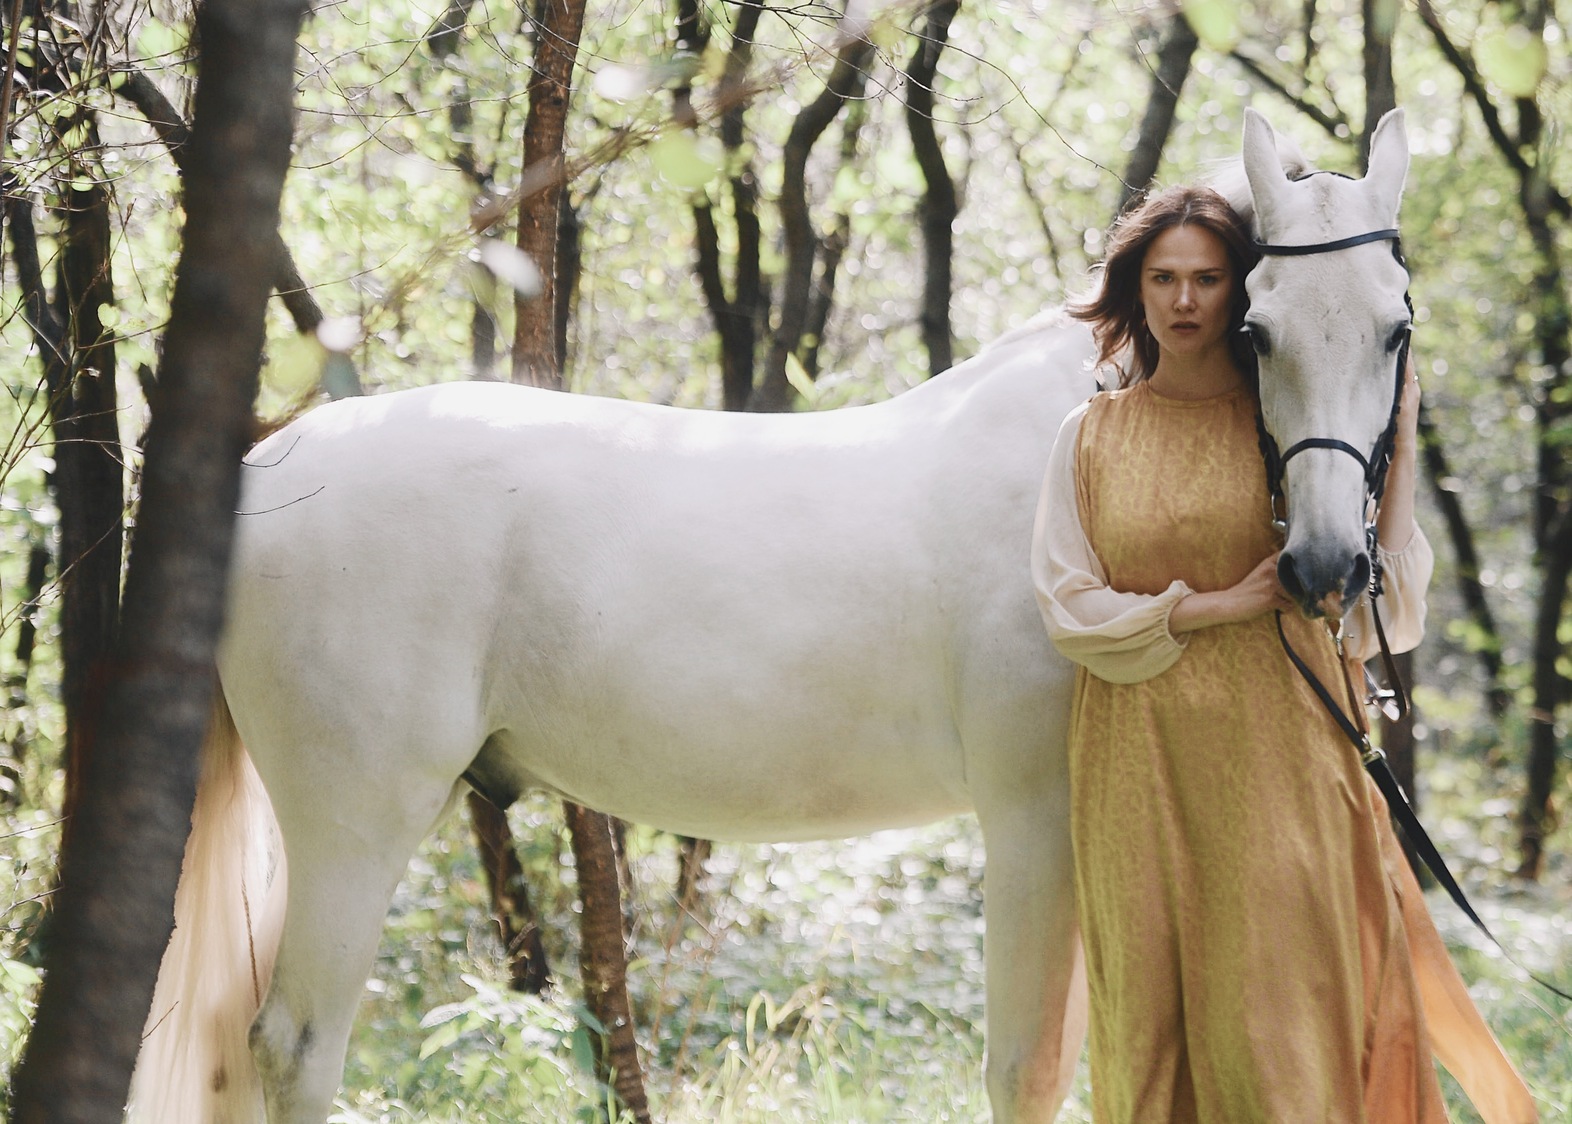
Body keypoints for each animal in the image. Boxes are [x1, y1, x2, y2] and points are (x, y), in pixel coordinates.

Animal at [132, 112, 1414, 1124]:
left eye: (1394, 326)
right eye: (1256, 327)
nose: (1325, 561)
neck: (1088, 439)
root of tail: (266, 468)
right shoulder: (1037, 821)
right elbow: (1030, 1069)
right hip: (357, 822)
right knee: (292, 1047)